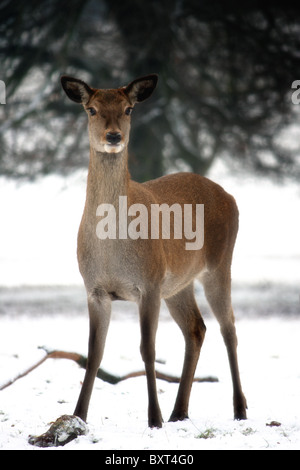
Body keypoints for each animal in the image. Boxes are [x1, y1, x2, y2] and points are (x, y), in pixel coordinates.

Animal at [29, 74, 247, 448]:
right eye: (91, 109)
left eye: (128, 108)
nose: (114, 136)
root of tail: (229, 196)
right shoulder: (96, 290)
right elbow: (94, 352)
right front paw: (78, 417)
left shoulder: (148, 284)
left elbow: (147, 348)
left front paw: (153, 420)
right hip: (178, 284)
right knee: (197, 328)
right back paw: (180, 412)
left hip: (219, 265)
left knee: (229, 327)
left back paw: (238, 409)